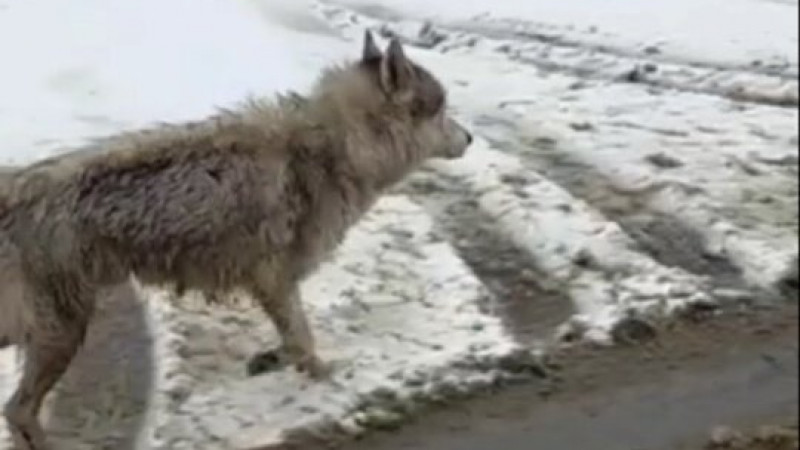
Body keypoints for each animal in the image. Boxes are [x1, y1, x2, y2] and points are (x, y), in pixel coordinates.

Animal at [0, 29, 468, 448]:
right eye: (443, 110)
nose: (470, 137)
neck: (338, 151)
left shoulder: (271, 285)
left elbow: (294, 341)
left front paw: (274, 363)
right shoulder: (275, 281)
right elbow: (303, 342)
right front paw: (323, 380)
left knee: (16, 409)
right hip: (63, 332)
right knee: (18, 410)